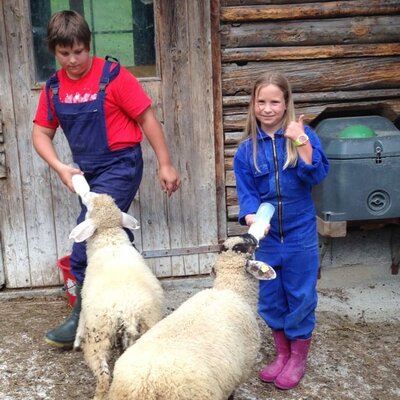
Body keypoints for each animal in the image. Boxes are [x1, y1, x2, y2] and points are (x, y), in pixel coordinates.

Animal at [69, 190, 163, 400]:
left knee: (103, 376)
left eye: (89, 204)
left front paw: (76, 339)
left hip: (98, 335)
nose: (88, 192)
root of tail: (128, 311)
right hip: (145, 331)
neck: (110, 239)